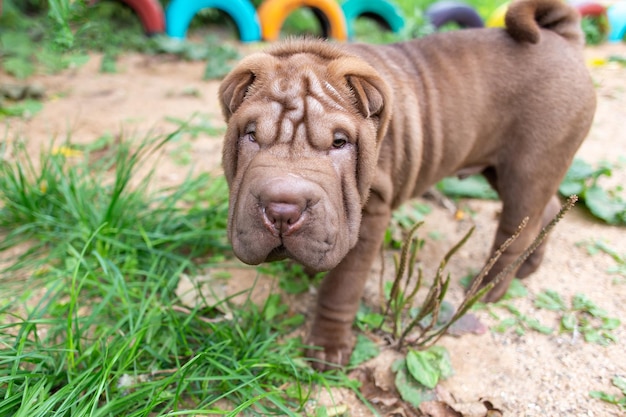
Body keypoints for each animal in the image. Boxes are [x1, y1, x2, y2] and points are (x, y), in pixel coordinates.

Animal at [218, 0, 596, 368]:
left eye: (340, 142)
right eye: (251, 135)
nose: (283, 208)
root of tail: (562, 39)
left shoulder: (370, 215)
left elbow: (342, 285)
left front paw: (327, 348)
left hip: (530, 165)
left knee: (516, 228)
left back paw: (488, 289)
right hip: (504, 168)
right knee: (544, 209)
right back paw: (527, 268)